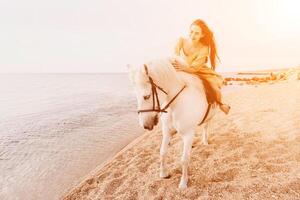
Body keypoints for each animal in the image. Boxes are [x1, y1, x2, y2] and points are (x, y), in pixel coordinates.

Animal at [127, 57, 214, 189]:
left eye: (147, 96)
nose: (145, 125)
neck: (176, 104)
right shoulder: (167, 132)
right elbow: (163, 152)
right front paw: (163, 173)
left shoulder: (188, 134)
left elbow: (184, 159)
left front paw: (183, 183)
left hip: (209, 118)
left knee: (205, 127)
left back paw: (205, 141)